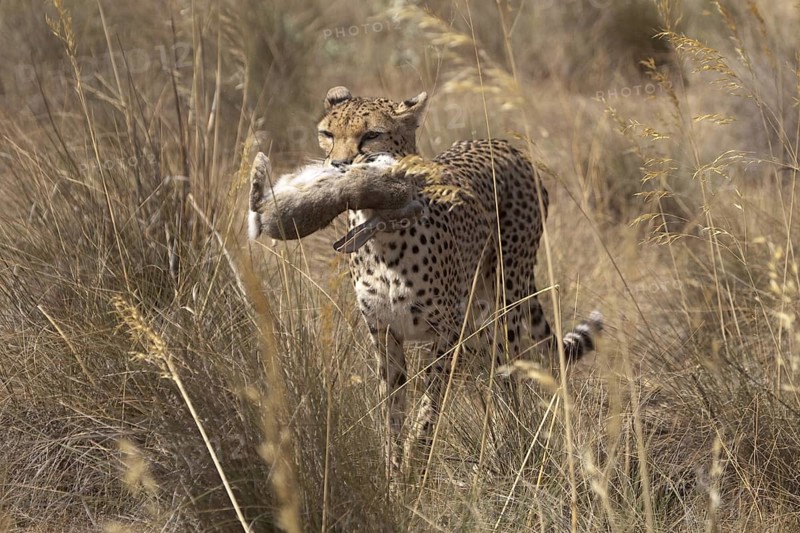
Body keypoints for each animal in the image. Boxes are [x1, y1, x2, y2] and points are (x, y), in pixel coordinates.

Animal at [316, 85, 602, 474]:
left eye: (371, 135)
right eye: (328, 134)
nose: (338, 166)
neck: (382, 232)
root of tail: (502, 144)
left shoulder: (447, 333)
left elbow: (429, 407)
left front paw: (416, 466)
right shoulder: (384, 332)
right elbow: (392, 409)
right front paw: (394, 472)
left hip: (506, 298)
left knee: (508, 375)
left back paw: (513, 439)